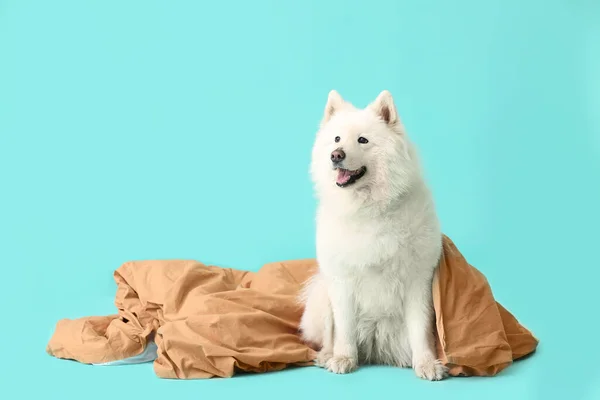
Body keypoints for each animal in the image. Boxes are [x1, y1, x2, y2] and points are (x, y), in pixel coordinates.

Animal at [298, 89, 446, 380]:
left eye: (362, 140)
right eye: (337, 139)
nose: (336, 155)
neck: (368, 208)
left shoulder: (417, 281)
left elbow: (420, 328)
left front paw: (426, 363)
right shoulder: (342, 281)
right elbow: (343, 328)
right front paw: (344, 358)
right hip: (322, 295)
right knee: (328, 336)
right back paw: (327, 356)